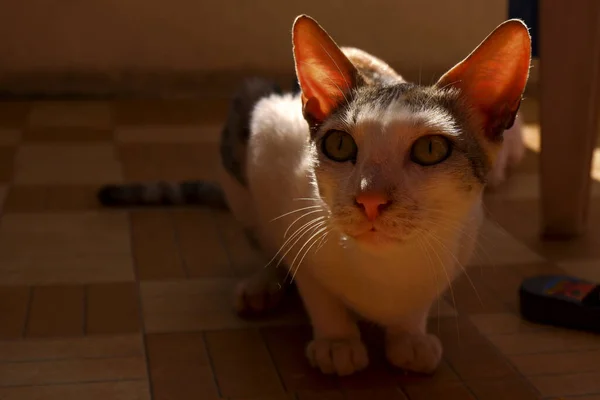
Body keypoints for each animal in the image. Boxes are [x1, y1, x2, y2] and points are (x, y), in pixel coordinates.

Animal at [97, 14, 528, 376]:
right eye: (339, 145)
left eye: (430, 149)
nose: (369, 199)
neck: (387, 270)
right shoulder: (271, 151)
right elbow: (310, 280)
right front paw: (337, 340)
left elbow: (418, 304)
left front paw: (410, 335)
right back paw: (263, 285)